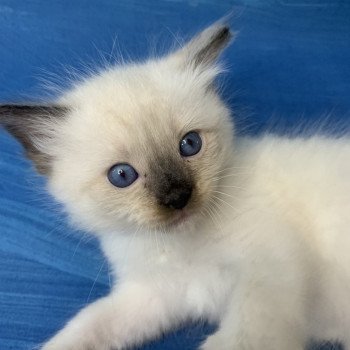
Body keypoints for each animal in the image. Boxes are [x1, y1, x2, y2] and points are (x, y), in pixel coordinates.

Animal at [0, 22, 350, 350]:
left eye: (190, 144)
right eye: (122, 175)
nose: (178, 197)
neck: (181, 245)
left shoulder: (266, 273)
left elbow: (241, 337)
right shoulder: (155, 296)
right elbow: (90, 325)